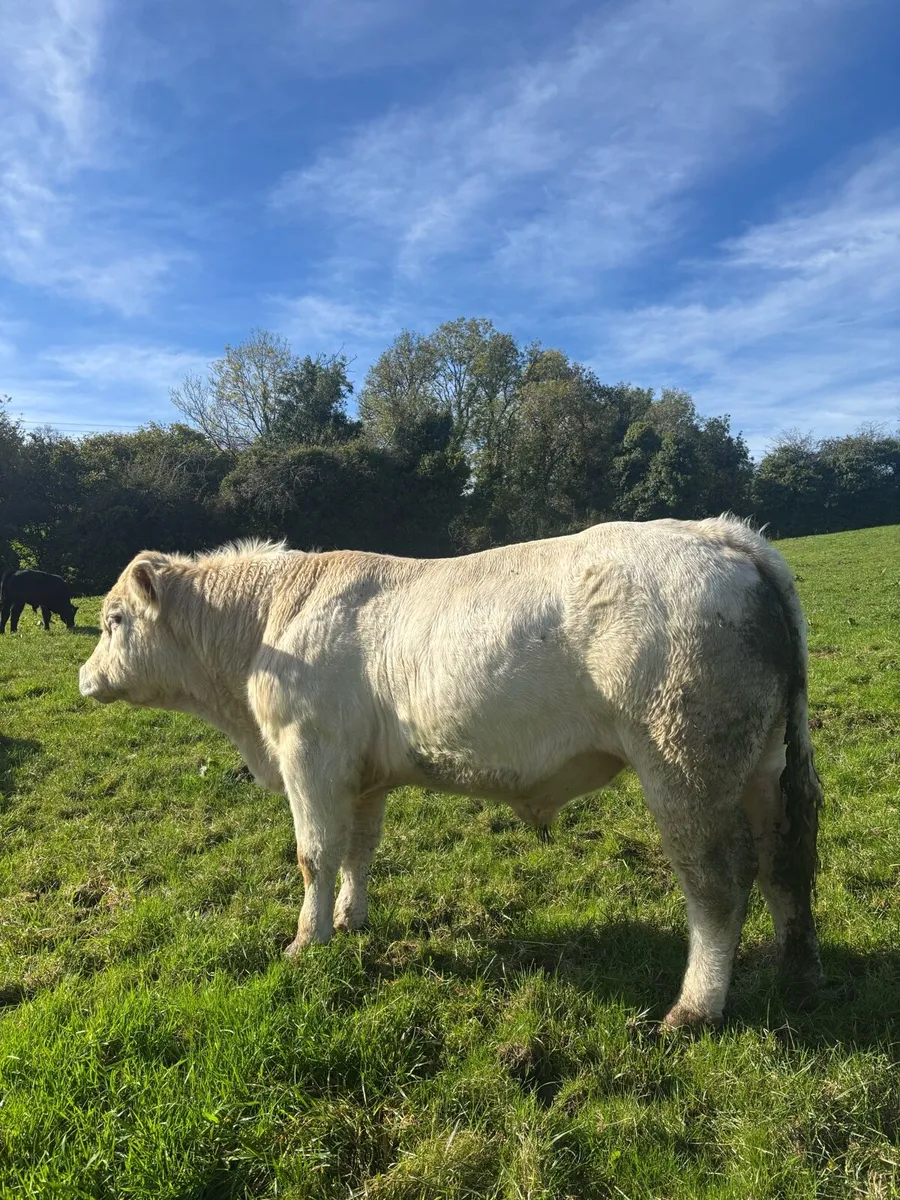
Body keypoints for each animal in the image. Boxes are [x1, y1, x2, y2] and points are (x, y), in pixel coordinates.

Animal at [78, 517, 824, 1029]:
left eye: (113, 620)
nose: (83, 678)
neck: (267, 630)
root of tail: (725, 535)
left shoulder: (309, 753)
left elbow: (314, 854)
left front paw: (306, 941)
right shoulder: (363, 774)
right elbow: (358, 851)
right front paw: (351, 920)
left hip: (685, 761)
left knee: (719, 881)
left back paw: (694, 1009)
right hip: (765, 763)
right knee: (787, 857)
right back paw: (793, 965)